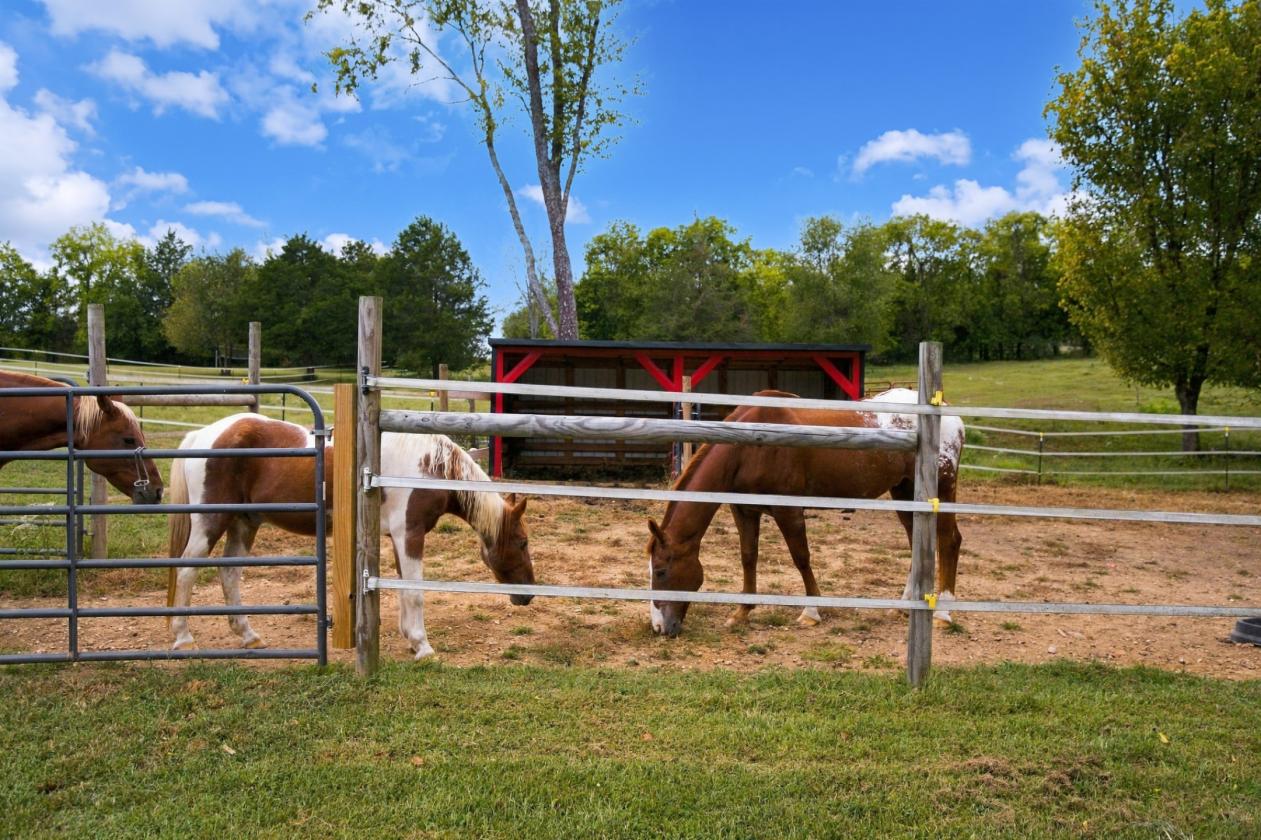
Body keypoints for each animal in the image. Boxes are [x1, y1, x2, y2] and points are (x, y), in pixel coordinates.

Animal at [165, 413, 535, 657]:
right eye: (522, 542)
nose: (527, 595)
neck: (431, 467)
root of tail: (203, 435)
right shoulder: (410, 533)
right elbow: (414, 592)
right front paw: (424, 646)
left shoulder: (399, 537)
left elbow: (403, 590)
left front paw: (411, 639)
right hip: (210, 521)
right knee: (186, 570)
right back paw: (183, 638)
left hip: (244, 523)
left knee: (229, 573)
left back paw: (248, 635)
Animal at [646, 388, 964, 638]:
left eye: (661, 571)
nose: (660, 628)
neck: (751, 445)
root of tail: (952, 416)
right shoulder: (744, 510)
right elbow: (748, 557)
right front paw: (742, 612)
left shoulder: (788, 511)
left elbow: (801, 558)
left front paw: (811, 611)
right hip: (904, 492)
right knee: (915, 544)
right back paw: (903, 606)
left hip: (943, 488)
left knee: (949, 541)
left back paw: (943, 614)